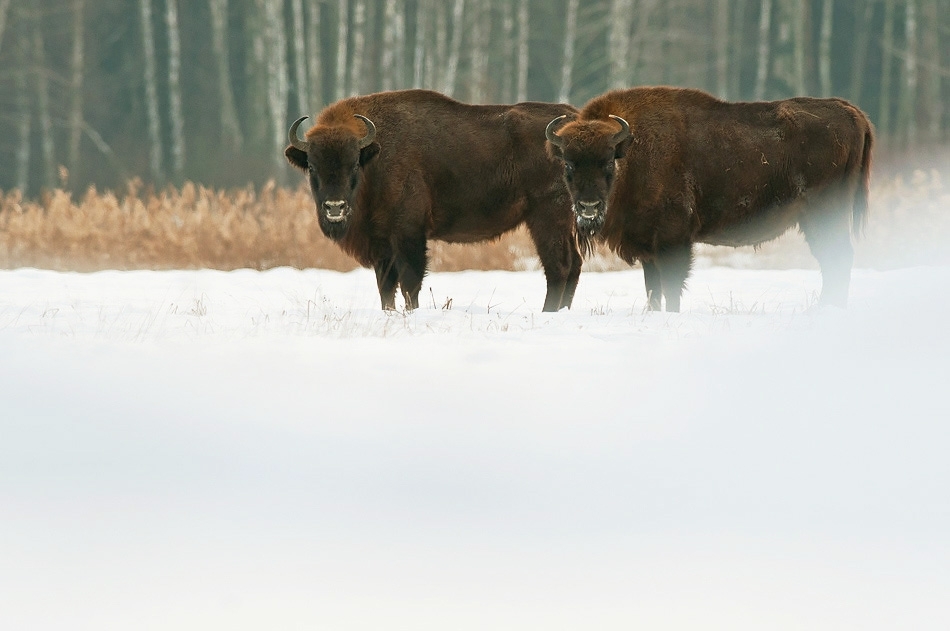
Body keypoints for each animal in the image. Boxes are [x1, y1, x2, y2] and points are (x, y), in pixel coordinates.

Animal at [285, 89, 584, 311]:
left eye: (354, 164)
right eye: (312, 166)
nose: (334, 207)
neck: (376, 154)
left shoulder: (408, 232)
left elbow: (410, 281)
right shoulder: (381, 242)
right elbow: (386, 286)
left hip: (547, 217)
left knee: (558, 266)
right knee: (574, 265)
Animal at [545, 86, 873, 311]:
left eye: (607, 162)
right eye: (569, 164)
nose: (588, 207)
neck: (633, 149)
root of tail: (850, 112)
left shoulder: (673, 240)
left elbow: (672, 285)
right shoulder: (648, 246)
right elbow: (653, 289)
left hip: (824, 215)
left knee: (838, 258)